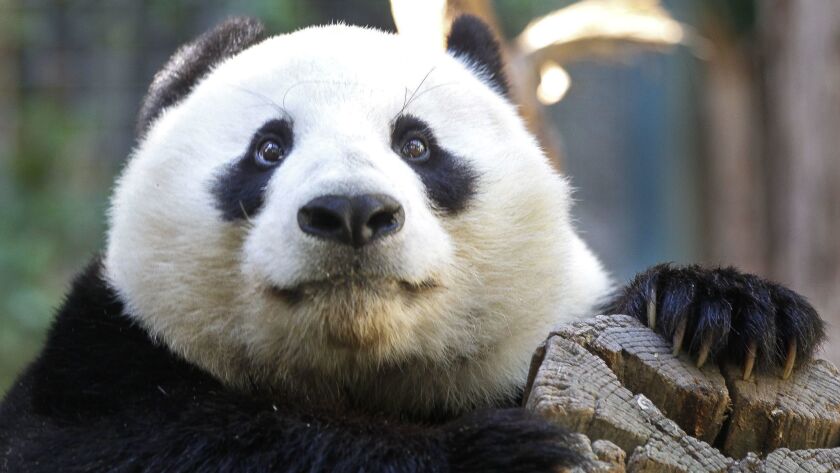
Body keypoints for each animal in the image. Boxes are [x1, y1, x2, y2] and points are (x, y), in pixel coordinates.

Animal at [0, 15, 828, 472]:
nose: (351, 212)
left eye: (418, 145)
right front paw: (499, 452)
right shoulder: (96, 363)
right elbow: (159, 441)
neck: (363, 373)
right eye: (268, 148)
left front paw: (731, 314)